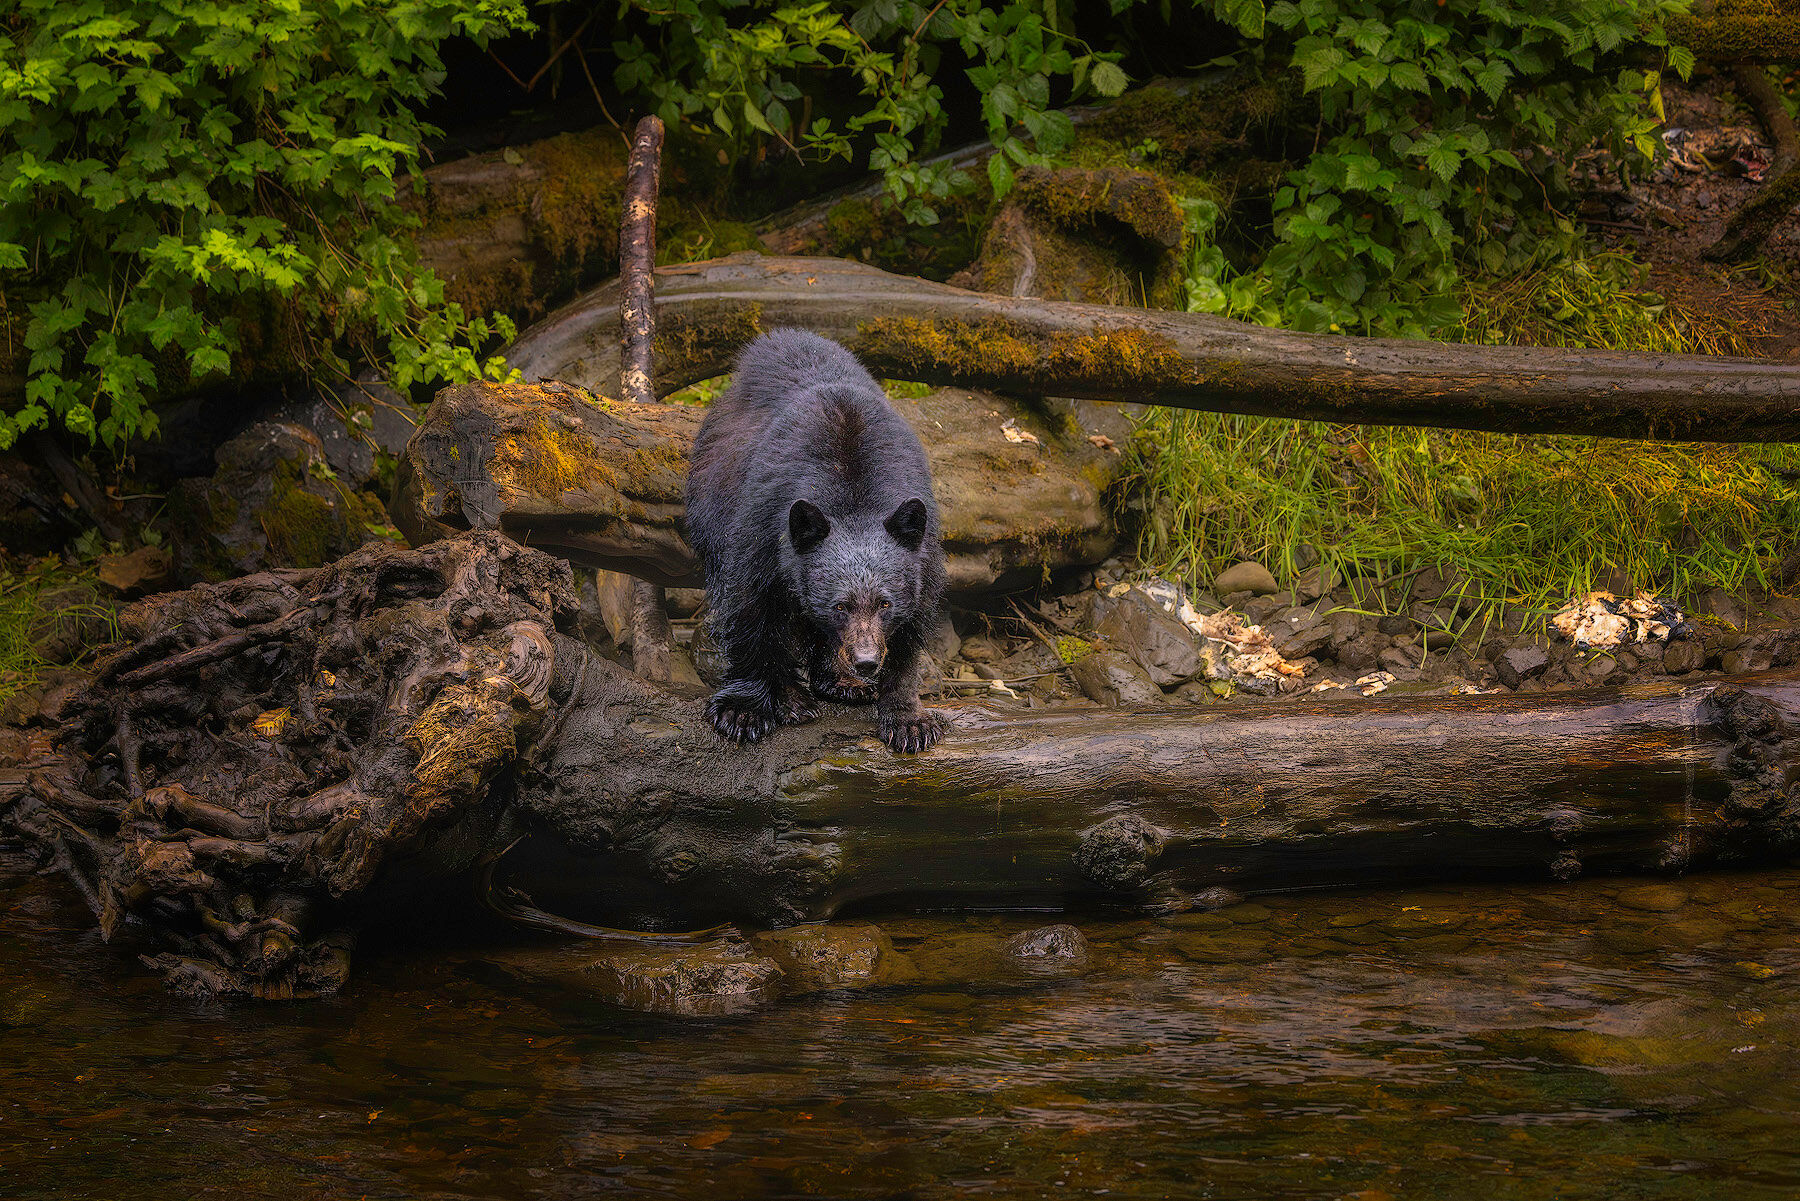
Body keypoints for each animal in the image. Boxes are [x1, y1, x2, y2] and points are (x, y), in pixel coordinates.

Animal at [684, 328, 948, 753]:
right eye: (840, 606)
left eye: (885, 604)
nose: (866, 661)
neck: (853, 494)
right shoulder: (763, 524)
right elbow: (748, 605)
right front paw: (743, 711)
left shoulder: (923, 554)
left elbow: (912, 629)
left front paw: (909, 720)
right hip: (711, 490)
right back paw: (793, 698)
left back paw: (841, 683)